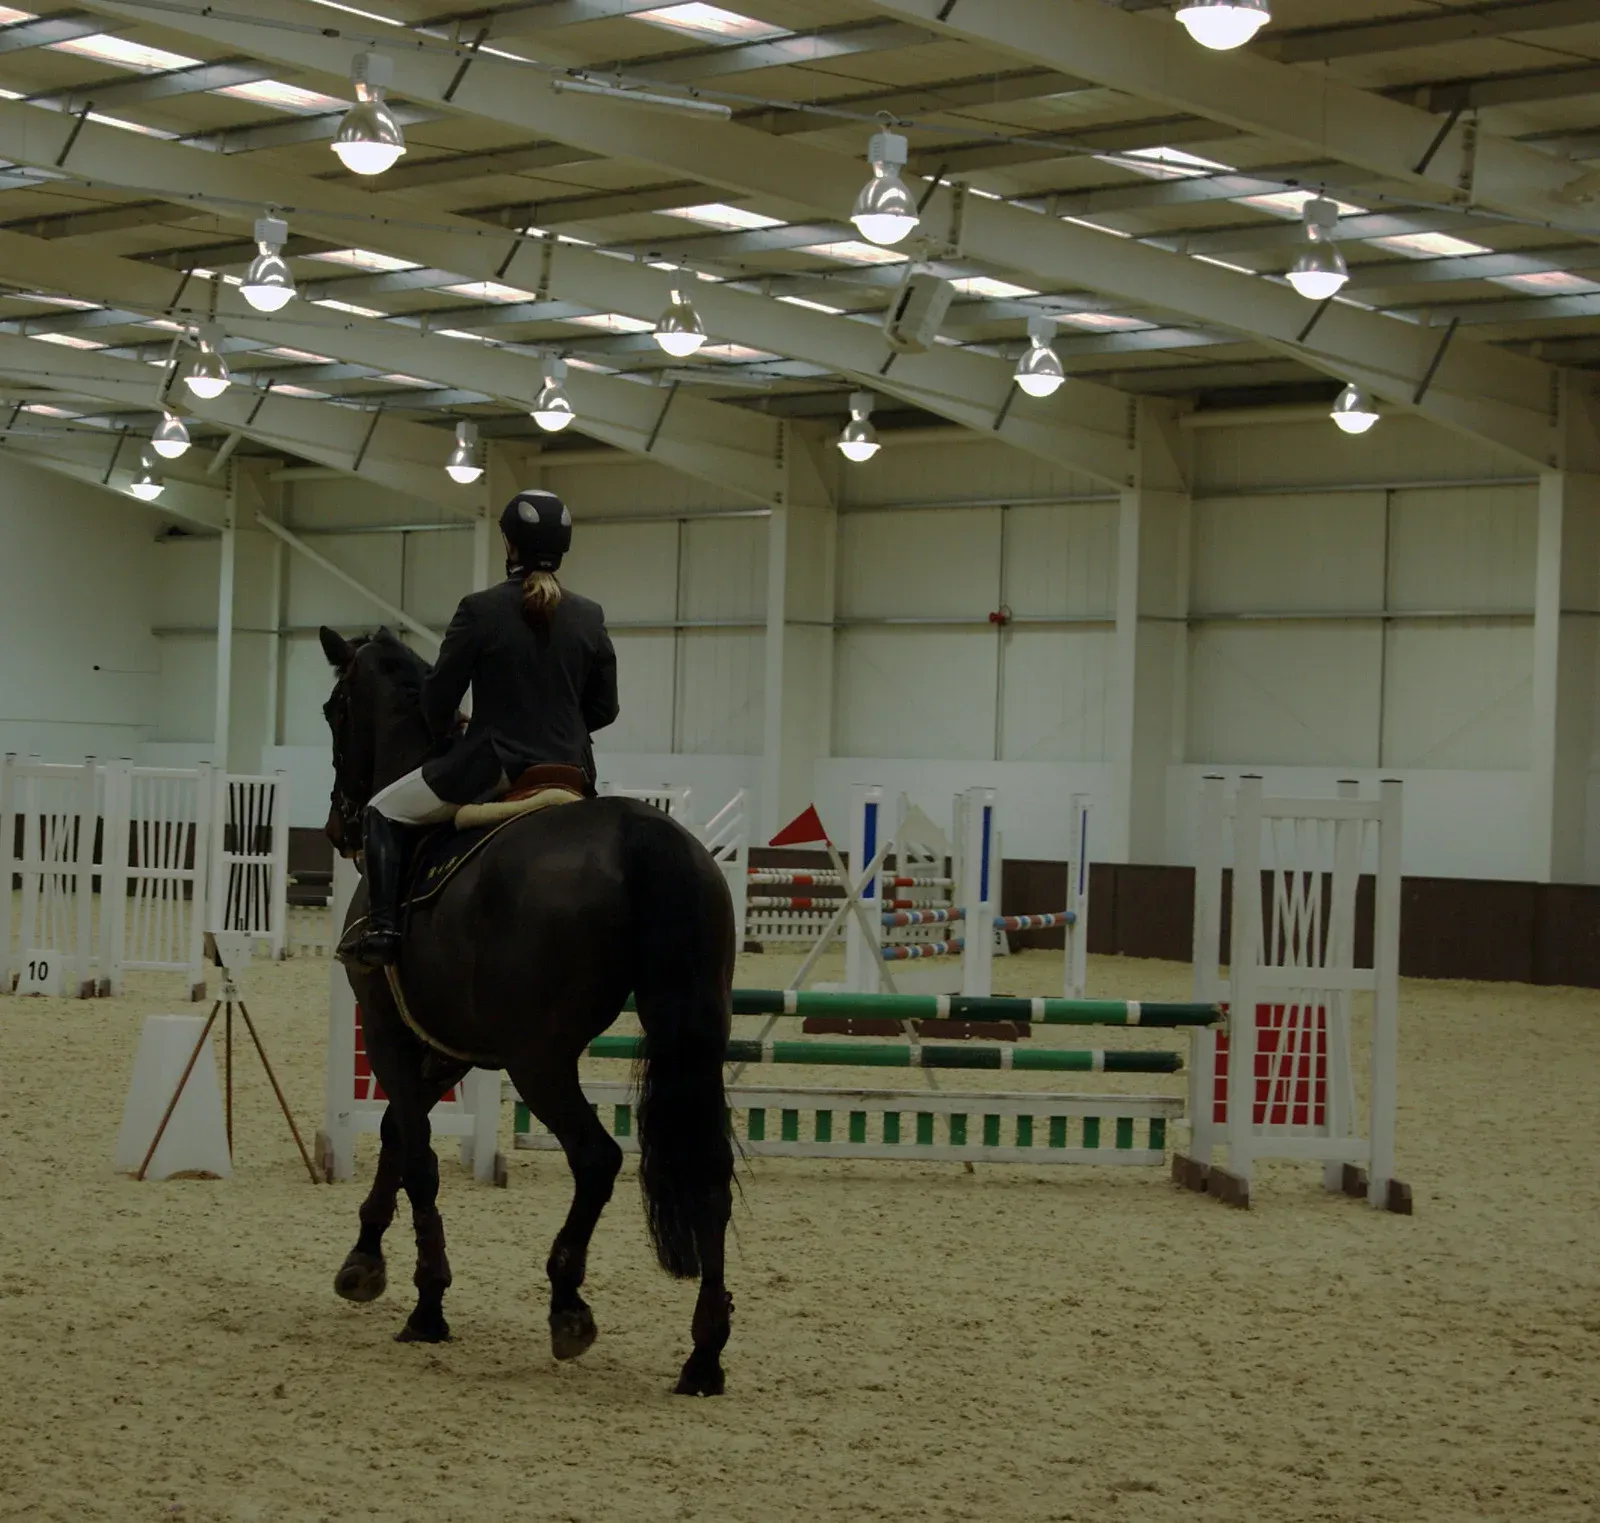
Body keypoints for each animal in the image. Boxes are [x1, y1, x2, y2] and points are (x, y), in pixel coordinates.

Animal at [317, 625, 736, 1396]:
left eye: (335, 710)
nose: (340, 826)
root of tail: (643, 833)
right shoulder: (447, 1047)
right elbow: (395, 1135)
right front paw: (363, 1261)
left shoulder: (392, 1033)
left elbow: (418, 1154)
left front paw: (427, 1302)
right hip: (686, 1039)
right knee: (709, 1170)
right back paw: (704, 1355)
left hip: (539, 1060)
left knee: (597, 1157)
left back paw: (568, 1304)